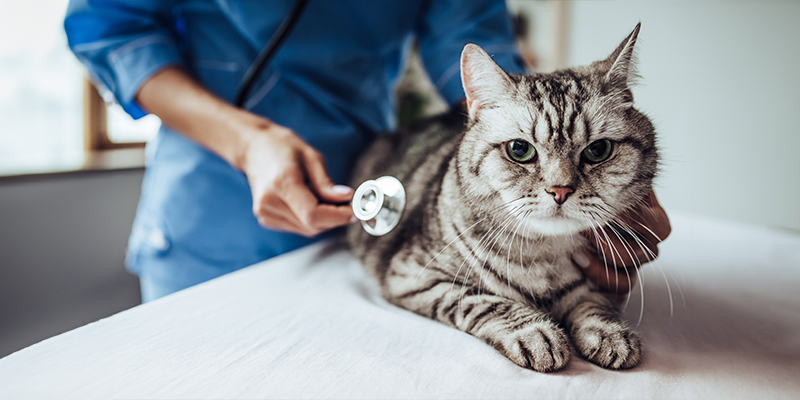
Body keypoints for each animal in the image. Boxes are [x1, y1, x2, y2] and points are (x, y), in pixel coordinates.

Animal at [348, 23, 656, 370]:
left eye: (598, 150)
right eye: (519, 150)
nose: (560, 189)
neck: (543, 256)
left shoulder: (598, 283)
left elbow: (595, 304)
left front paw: (609, 333)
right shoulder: (414, 276)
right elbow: (486, 301)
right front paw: (537, 333)